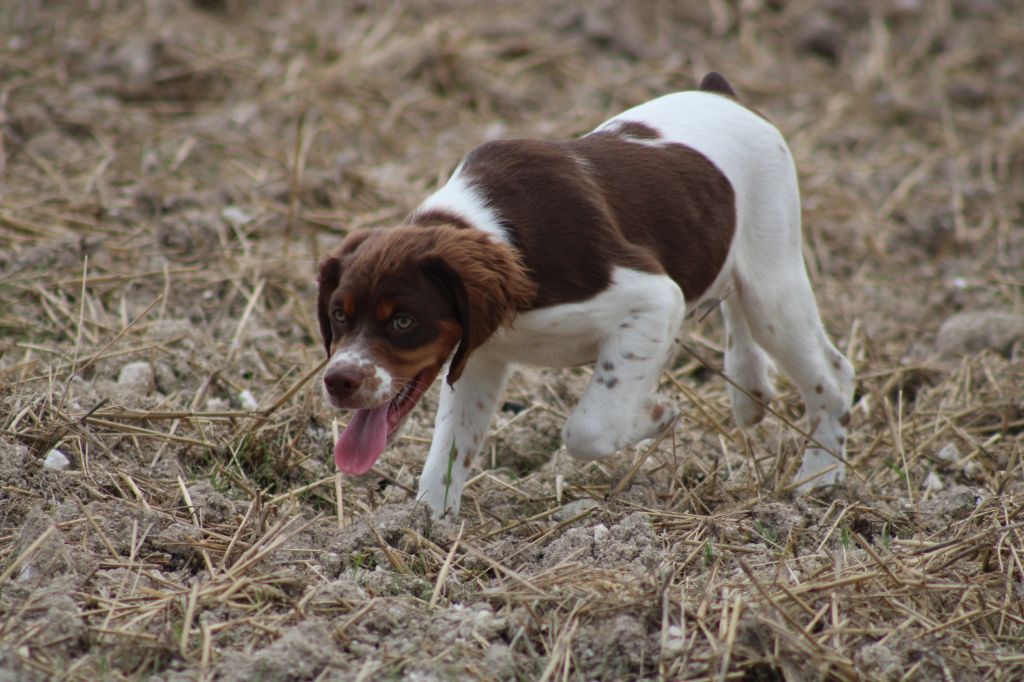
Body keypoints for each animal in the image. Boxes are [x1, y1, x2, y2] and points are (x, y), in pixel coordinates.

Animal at [317, 73, 856, 516]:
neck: (501, 235)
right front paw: (425, 529)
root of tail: (720, 92)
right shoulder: (481, 356)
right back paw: (752, 391)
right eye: (339, 316)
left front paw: (657, 414)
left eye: (403, 321)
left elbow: (588, 429)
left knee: (833, 375)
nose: (338, 382)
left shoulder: (653, 300)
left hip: (773, 283)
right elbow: (450, 448)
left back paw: (820, 479)